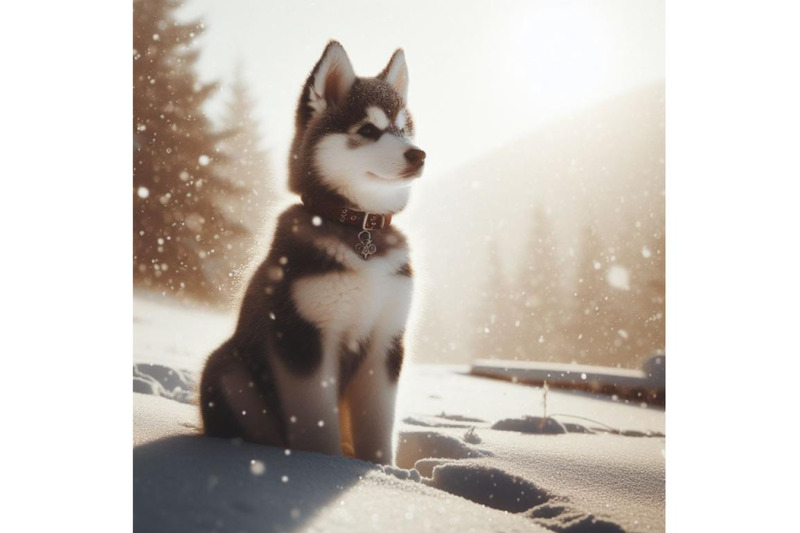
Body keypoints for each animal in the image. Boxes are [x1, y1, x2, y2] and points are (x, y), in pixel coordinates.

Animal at [200, 41, 424, 464]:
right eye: (367, 130)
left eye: (403, 129)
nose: (418, 155)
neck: (359, 227)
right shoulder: (303, 335)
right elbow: (316, 423)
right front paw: (320, 468)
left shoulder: (386, 340)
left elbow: (378, 426)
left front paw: (382, 471)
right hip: (228, 367)